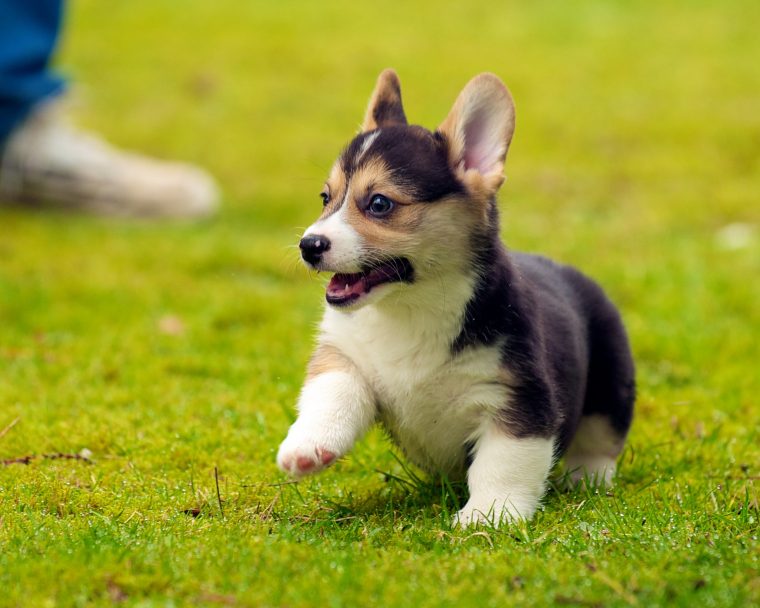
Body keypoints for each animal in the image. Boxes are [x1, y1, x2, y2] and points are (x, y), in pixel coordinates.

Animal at [276, 70, 632, 528]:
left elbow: (503, 463)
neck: (412, 306)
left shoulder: (518, 398)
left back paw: (586, 478)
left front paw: (489, 515)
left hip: (612, 380)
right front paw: (306, 448)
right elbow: (331, 394)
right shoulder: (345, 356)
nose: (309, 245)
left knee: (602, 439)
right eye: (326, 198)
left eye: (379, 204)